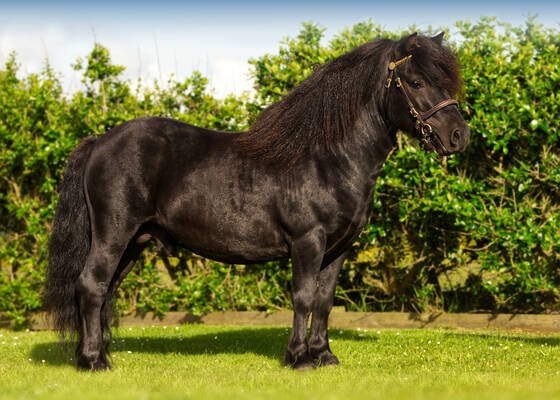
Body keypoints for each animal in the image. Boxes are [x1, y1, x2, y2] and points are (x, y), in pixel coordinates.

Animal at [46, 32, 470, 370]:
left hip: (134, 242)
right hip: (113, 235)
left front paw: (324, 355)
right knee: (91, 287)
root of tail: (99, 141)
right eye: (415, 81)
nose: (458, 135)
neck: (328, 157)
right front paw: (299, 359)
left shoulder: (338, 249)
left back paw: (96, 356)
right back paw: (93, 362)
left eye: (447, 81)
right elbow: (302, 298)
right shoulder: (307, 241)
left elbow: (324, 301)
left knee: (104, 292)